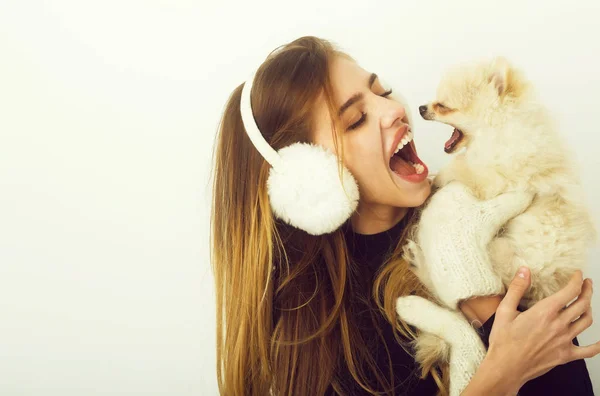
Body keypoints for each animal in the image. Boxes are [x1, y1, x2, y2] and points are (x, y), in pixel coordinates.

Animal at [412, 57, 596, 306]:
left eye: (443, 106)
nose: (421, 108)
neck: (500, 128)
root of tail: (541, 290)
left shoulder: (495, 178)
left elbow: (461, 165)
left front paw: (438, 178)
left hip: (505, 256)